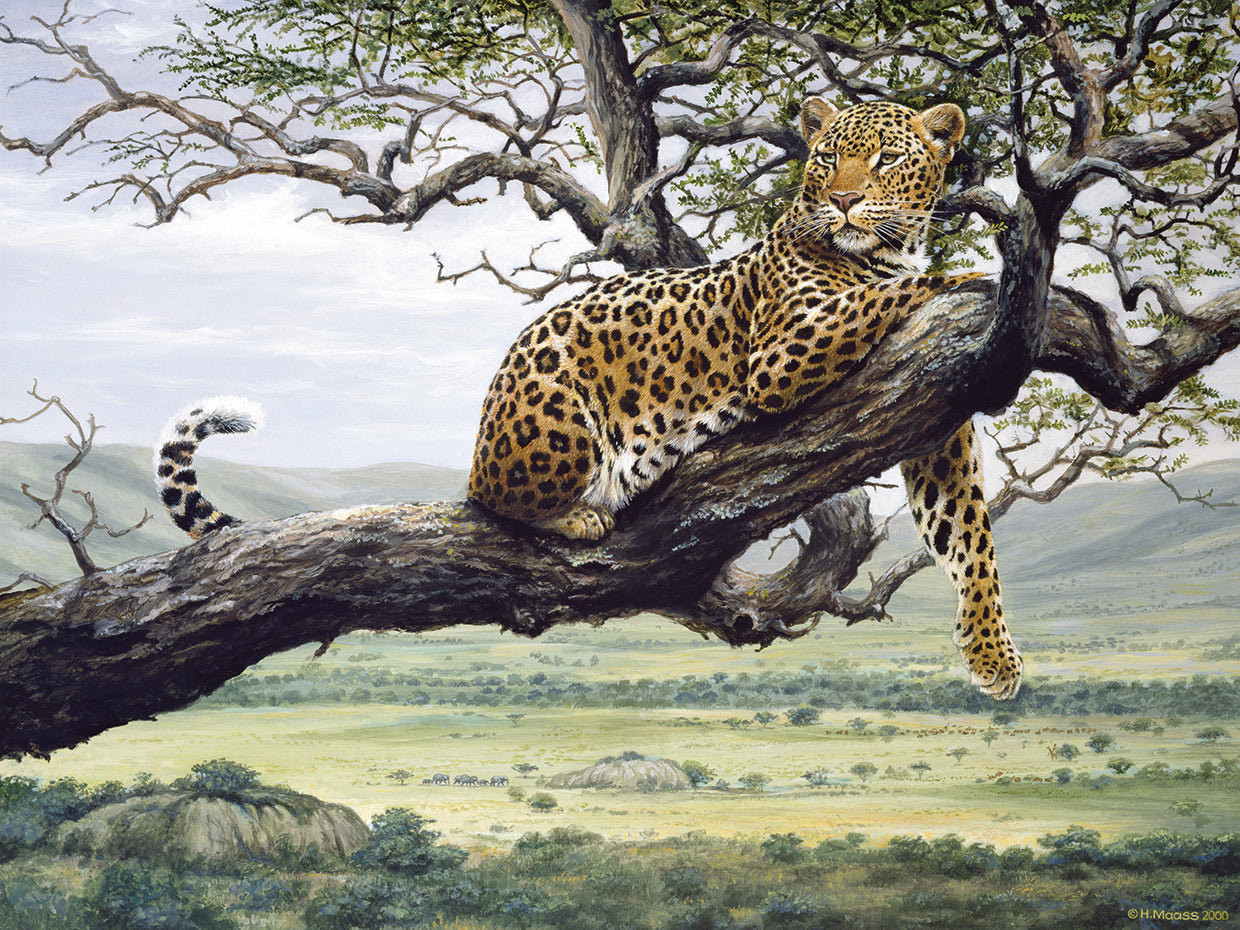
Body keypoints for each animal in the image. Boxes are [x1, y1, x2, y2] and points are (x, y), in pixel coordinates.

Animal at [466, 98, 1022, 699]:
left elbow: (965, 529)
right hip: (561, 432)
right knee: (494, 499)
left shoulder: (934, 404)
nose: (844, 201)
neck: (885, 252)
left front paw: (992, 651)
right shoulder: (780, 355)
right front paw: (970, 275)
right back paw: (579, 517)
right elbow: (881, 293)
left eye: (889, 158)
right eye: (828, 157)